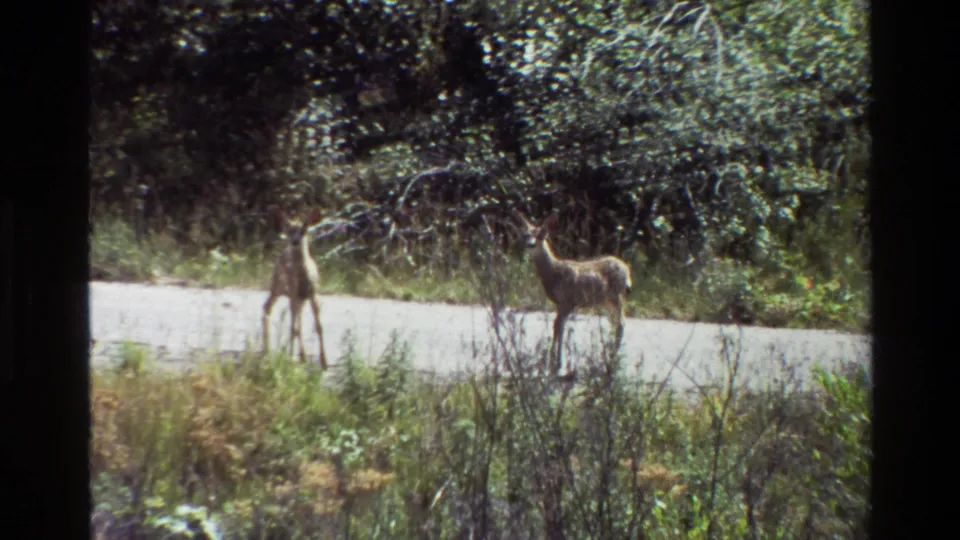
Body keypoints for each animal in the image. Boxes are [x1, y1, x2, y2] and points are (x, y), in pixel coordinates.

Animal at [262, 204, 329, 370]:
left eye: (304, 229)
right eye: (289, 230)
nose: (295, 241)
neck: (303, 277)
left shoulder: (313, 293)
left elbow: (318, 325)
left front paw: (324, 362)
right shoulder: (293, 293)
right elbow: (293, 328)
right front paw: (290, 359)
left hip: (299, 298)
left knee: (298, 318)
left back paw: (302, 356)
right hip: (276, 286)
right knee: (267, 307)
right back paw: (266, 351)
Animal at [511, 209, 633, 375]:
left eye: (542, 235)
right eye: (525, 235)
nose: (530, 244)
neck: (553, 272)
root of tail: (626, 270)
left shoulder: (569, 300)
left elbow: (560, 327)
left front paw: (557, 363)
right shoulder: (559, 303)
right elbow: (556, 326)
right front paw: (552, 361)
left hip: (615, 295)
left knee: (621, 323)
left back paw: (611, 362)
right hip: (606, 301)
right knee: (617, 323)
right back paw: (608, 358)